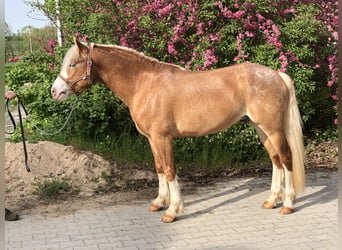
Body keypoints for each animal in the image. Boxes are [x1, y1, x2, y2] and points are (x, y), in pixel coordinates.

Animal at [51, 37, 304, 223]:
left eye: (72, 64)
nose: (55, 91)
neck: (143, 84)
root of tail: (275, 75)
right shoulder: (152, 139)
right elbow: (159, 168)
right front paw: (159, 202)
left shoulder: (163, 138)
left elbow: (170, 170)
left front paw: (172, 210)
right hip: (261, 128)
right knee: (275, 160)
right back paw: (272, 200)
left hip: (273, 129)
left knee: (286, 158)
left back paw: (288, 204)